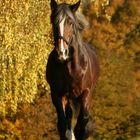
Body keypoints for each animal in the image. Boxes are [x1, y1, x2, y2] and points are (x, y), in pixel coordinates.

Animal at [46, 0, 99, 139]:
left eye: (70, 22)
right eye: (53, 22)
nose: (62, 53)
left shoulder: (86, 92)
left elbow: (83, 120)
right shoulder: (57, 94)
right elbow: (63, 123)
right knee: (68, 117)